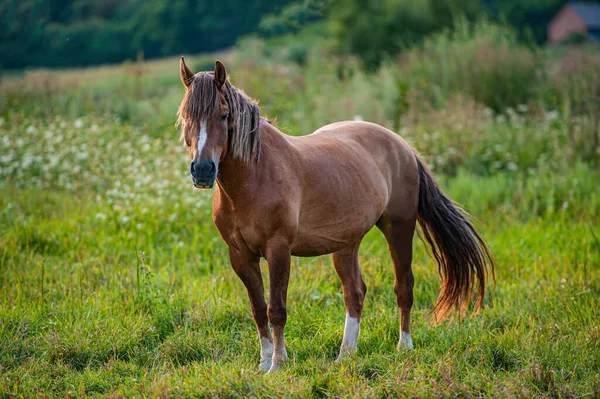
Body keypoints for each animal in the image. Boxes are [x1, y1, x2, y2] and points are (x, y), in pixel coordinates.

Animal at [177, 59, 492, 376]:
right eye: (185, 116)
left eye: (224, 114)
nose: (202, 170)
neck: (255, 176)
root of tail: (403, 145)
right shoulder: (241, 256)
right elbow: (257, 309)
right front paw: (264, 362)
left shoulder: (278, 250)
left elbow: (276, 309)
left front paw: (278, 364)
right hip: (345, 245)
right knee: (355, 292)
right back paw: (346, 354)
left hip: (399, 229)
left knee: (403, 287)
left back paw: (404, 347)